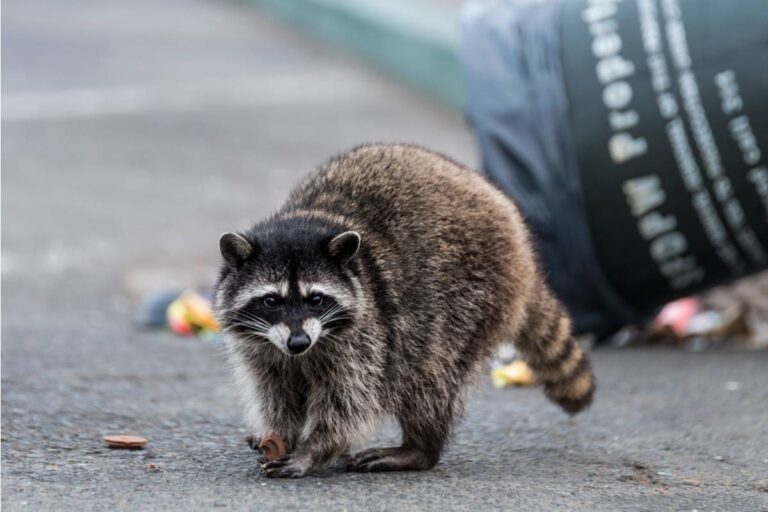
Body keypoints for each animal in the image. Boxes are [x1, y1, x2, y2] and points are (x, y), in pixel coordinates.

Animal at [214, 143, 594, 478]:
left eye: (316, 300)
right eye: (271, 301)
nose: (298, 342)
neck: (310, 218)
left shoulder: (366, 335)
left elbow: (349, 402)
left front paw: (312, 450)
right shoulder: (263, 348)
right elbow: (276, 393)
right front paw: (281, 434)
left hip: (475, 294)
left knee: (429, 375)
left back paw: (421, 448)